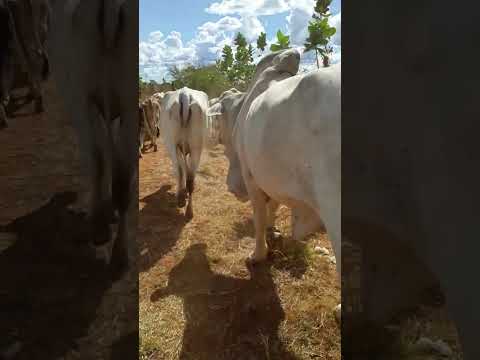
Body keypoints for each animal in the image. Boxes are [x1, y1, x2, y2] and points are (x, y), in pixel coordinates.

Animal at [45, 0, 138, 270]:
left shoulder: (77, 100)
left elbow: (98, 157)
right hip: (128, 105)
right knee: (121, 176)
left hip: (82, 98)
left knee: (99, 159)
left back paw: (103, 234)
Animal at [159, 87, 208, 221]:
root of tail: (185, 94)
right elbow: (187, 168)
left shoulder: (176, 148)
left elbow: (181, 169)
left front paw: (180, 192)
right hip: (197, 148)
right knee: (191, 178)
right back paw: (189, 211)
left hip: (172, 145)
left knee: (179, 170)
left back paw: (181, 200)